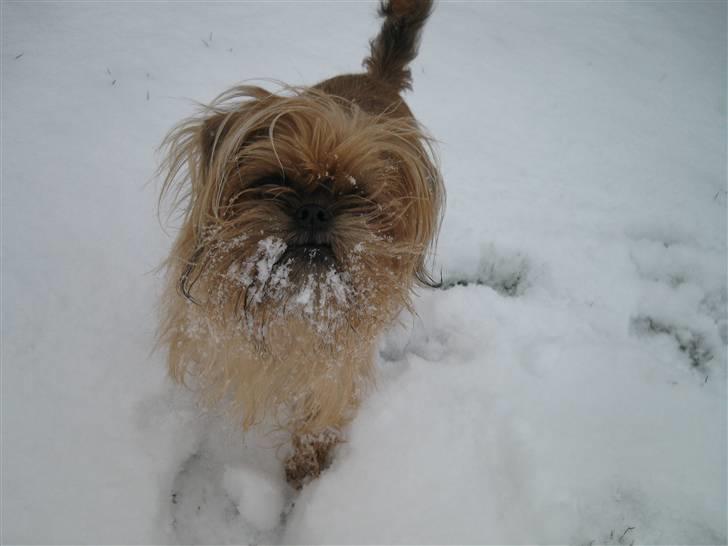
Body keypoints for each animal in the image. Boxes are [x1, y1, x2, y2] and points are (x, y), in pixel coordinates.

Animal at [160, 0, 444, 484]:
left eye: (356, 193)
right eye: (275, 180)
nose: (314, 210)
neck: (294, 304)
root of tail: (378, 77)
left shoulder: (337, 371)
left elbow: (320, 417)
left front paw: (307, 465)